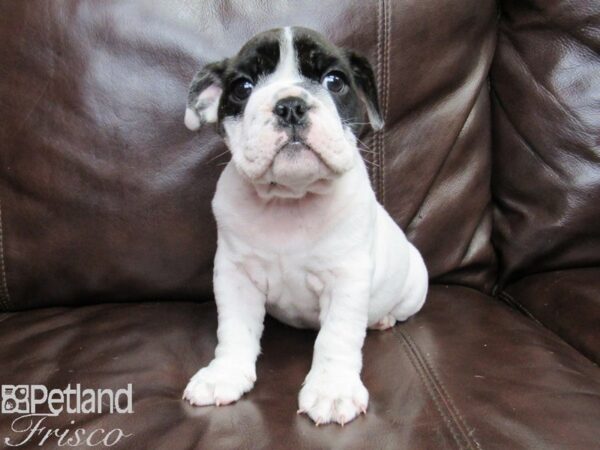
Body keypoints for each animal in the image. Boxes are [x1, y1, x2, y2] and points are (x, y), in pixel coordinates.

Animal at [182, 26, 426, 428]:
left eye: (335, 81)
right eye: (243, 87)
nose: (290, 105)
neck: (290, 199)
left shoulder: (346, 279)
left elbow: (337, 337)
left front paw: (332, 390)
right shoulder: (236, 276)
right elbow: (234, 329)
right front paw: (224, 374)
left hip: (413, 287)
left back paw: (383, 319)